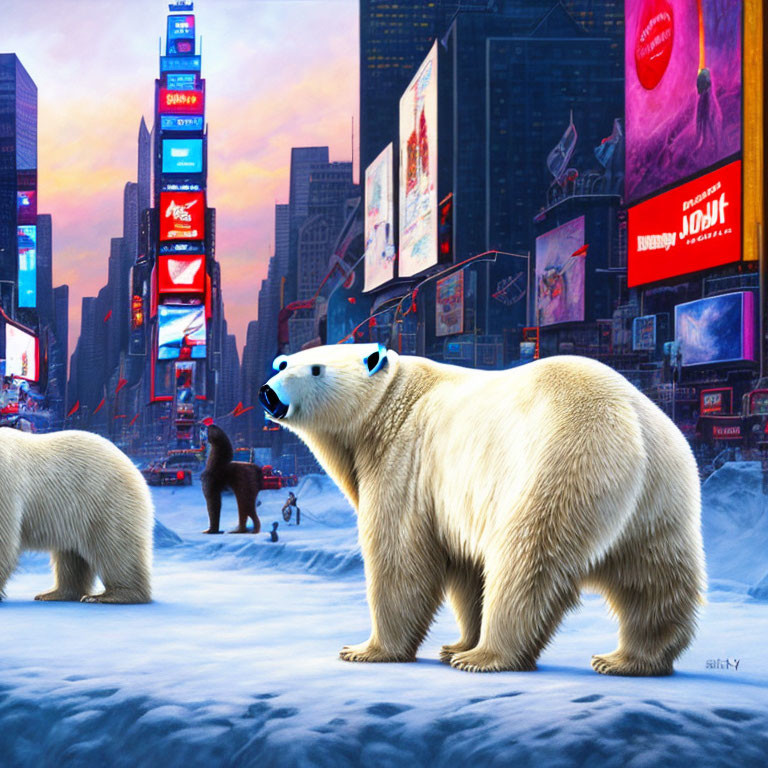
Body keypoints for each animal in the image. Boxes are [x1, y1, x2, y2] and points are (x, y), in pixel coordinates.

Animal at [0, 428, 154, 604]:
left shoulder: (6, 485)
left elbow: (4, 542)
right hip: (73, 515)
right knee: (70, 556)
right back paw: (54, 593)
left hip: (105, 500)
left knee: (115, 548)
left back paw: (109, 595)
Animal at [260, 344, 704, 676]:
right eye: (281, 363)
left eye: (316, 369)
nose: (269, 392)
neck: (392, 403)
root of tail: (629, 422)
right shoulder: (450, 501)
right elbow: (465, 567)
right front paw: (454, 643)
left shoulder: (407, 460)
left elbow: (399, 557)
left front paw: (367, 650)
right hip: (660, 496)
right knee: (653, 577)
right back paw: (629, 659)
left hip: (559, 465)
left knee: (526, 562)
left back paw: (486, 656)